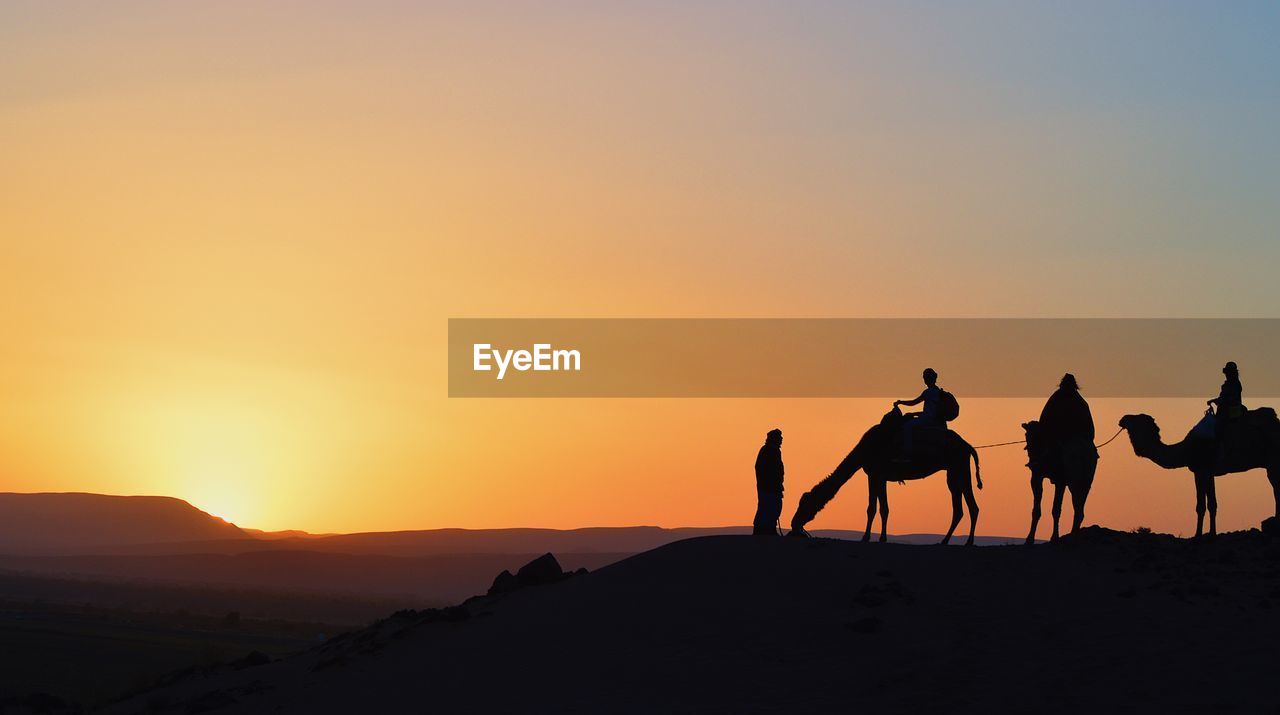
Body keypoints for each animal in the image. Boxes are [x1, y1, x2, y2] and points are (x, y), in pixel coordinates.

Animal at [788, 409, 977, 547]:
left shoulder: (873, 474)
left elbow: (872, 508)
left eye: (806, 505)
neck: (865, 448)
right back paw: (946, 540)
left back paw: (967, 542)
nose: (793, 523)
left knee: (971, 506)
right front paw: (882, 538)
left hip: (959, 467)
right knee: (960, 508)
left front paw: (866, 537)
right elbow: (884, 508)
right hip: (954, 472)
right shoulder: (881, 477)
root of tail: (968, 446)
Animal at [1121, 409, 1280, 537]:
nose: (1123, 418)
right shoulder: (1205, 472)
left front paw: (1199, 535)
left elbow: (1203, 505)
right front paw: (1210, 533)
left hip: (1273, 461)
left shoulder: (1201, 470)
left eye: (1137, 418)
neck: (1185, 450)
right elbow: (1210, 504)